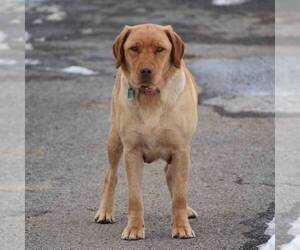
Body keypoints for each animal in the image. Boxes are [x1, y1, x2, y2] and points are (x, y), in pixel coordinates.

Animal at [95, 23, 198, 240]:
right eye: (134, 48)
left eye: (160, 49)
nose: (145, 70)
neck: (151, 97)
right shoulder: (132, 152)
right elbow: (134, 197)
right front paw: (134, 228)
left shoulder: (181, 150)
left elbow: (180, 194)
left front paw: (181, 226)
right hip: (114, 139)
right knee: (111, 175)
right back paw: (105, 212)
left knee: (171, 176)